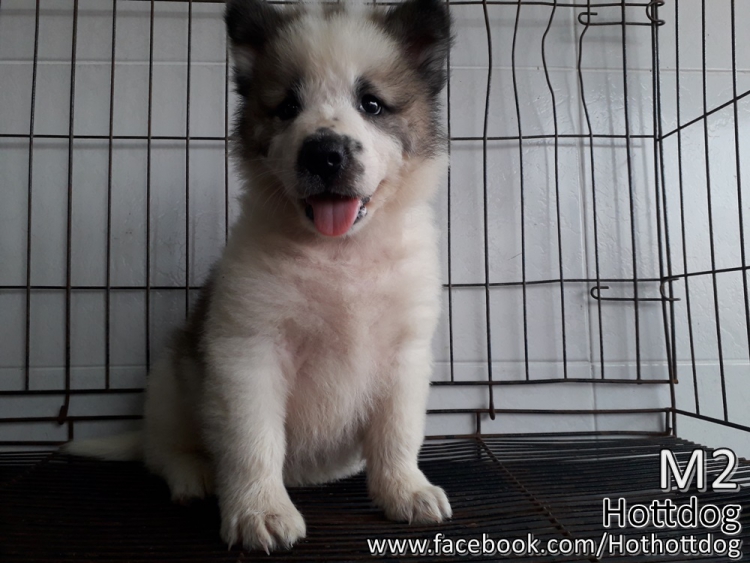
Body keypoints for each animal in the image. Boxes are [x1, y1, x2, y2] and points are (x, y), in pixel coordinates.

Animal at [64, 0, 453, 552]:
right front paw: (260, 513)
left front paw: (405, 490)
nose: (324, 153)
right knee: (163, 451)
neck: (338, 254)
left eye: (372, 104)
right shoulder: (248, 351)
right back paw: (193, 477)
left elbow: (397, 432)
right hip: (169, 382)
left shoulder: (406, 354)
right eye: (287, 107)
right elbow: (253, 441)